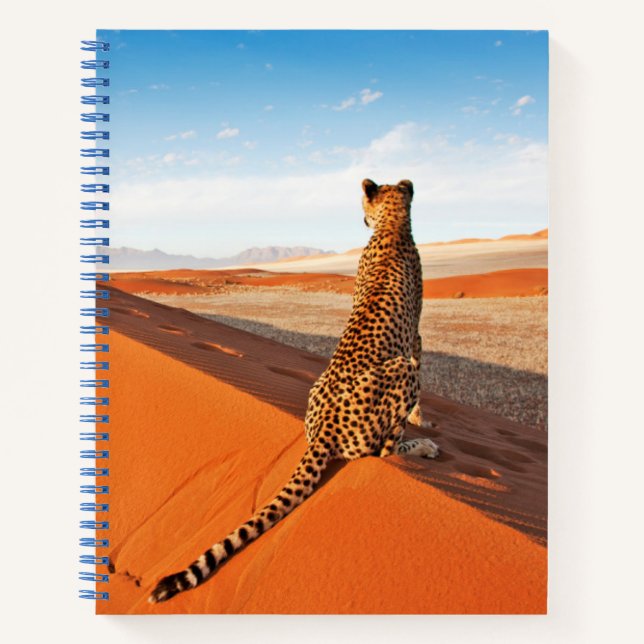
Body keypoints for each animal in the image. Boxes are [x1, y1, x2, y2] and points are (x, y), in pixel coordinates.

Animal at [149, 178, 439, 603]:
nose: (361, 219)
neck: (392, 226)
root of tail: (325, 428)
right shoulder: (414, 341)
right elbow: (423, 374)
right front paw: (425, 422)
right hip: (399, 373)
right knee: (382, 453)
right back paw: (421, 448)